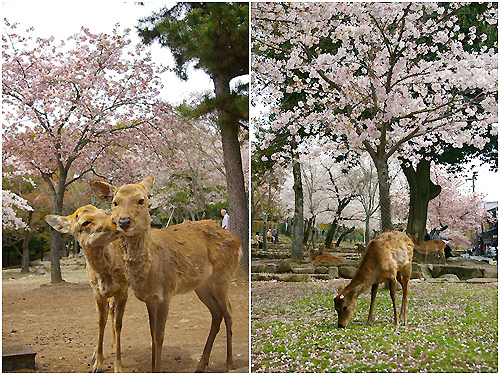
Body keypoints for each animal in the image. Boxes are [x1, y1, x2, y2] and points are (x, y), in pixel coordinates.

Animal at [45, 207, 129, 374]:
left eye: (104, 212)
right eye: (85, 222)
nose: (118, 221)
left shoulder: (123, 290)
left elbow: (118, 323)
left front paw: (118, 366)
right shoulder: (97, 292)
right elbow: (100, 322)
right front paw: (97, 364)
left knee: (112, 312)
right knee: (109, 312)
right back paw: (95, 354)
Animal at [90, 176, 242, 374]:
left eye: (141, 200)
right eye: (115, 202)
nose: (123, 222)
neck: (149, 269)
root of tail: (238, 243)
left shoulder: (165, 293)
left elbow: (159, 336)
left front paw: (157, 367)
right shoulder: (150, 298)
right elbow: (152, 334)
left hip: (223, 278)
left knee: (229, 312)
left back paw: (229, 364)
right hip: (202, 286)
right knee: (217, 314)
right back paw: (201, 365)